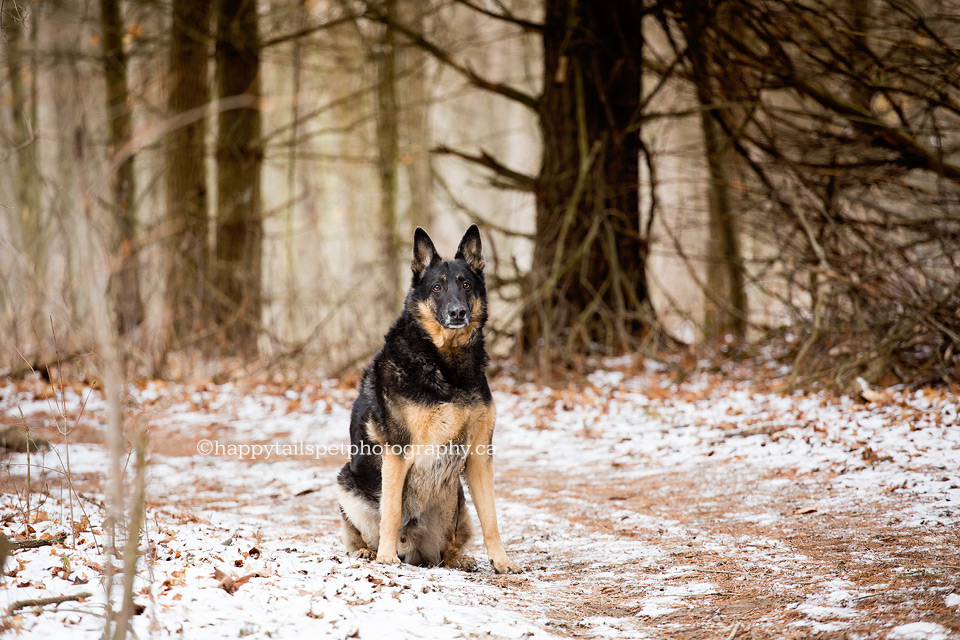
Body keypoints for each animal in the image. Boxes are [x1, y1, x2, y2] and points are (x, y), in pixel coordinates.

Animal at [336, 226, 520, 576]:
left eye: (465, 284)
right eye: (437, 287)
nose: (458, 312)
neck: (446, 363)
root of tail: (415, 550)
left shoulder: (480, 456)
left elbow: (491, 518)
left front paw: (502, 561)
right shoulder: (397, 453)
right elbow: (392, 511)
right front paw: (385, 558)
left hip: (454, 495)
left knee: (448, 544)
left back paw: (457, 558)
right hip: (347, 483)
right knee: (359, 533)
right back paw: (369, 552)